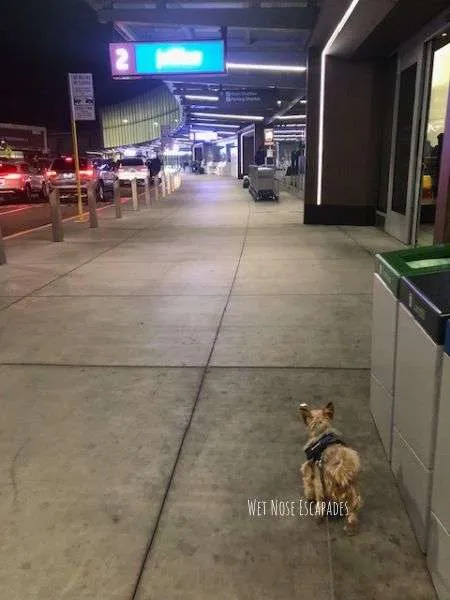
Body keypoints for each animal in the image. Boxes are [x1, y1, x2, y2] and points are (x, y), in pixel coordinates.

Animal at [298, 400, 362, 532]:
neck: (321, 432)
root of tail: (341, 470)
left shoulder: (309, 469)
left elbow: (307, 483)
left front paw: (309, 496)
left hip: (321, 485)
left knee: (321, 502)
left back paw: (318, 516)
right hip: (352, 491)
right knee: (353, 508)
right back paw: (351, 526)